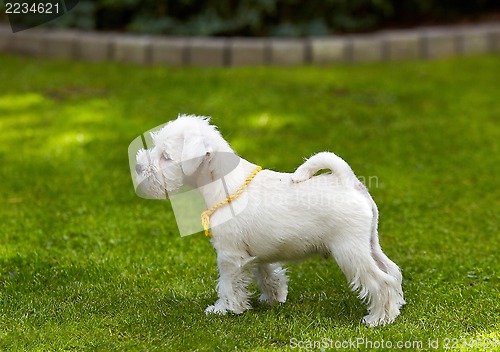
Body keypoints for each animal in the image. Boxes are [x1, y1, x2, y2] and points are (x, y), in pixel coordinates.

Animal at [135, 115, 404, 328]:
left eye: (166, 157)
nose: (138, 166)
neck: (224, 185)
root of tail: (348, 181)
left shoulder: (228, 254)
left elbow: (227, 284)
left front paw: (224, 309)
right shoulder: (256, 253)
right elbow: (267, 274)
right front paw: (273, 298)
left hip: (350, 251)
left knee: (382, 282)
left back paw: (379, 318)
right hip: (370, 244)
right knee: (393, 271)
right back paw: (396, 308)